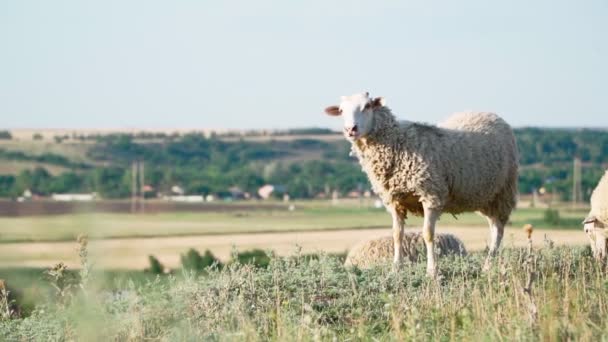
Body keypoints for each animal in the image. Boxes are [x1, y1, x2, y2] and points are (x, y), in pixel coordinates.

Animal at [326, 91, 520, 276]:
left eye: (367, 106)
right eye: (341, 110)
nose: (351, 129)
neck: (399, 143)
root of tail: (489, 114)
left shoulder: (431, 195)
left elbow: (428, 235)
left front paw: (431, 271)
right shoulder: (394, 201)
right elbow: (397, 235)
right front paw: (396, 269)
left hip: (503, 192)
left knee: (498, 231)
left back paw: (487, 266)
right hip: (485, 197)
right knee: (493, 227)